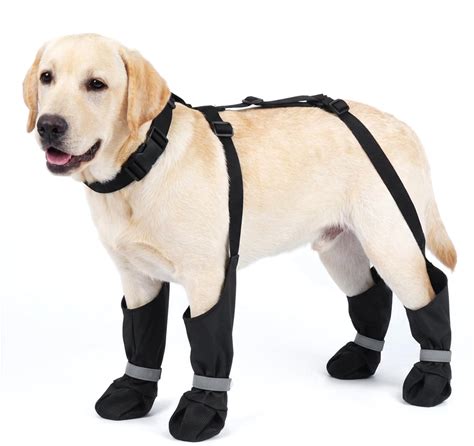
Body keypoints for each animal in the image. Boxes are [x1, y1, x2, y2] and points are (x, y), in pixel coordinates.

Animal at [24, 33, 456, 439]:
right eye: (47, 77)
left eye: (96, 84)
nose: (48, 125)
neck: (142, 163)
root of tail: (400, 125)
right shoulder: (137, 278)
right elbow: (142, 338)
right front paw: (133, 392)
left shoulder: (208, 279)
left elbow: (208, 344)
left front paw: (201, 412)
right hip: (339, 248)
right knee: (372, 293)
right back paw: (361, 358)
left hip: (392, 243)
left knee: (428, 293)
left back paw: (432, 380)